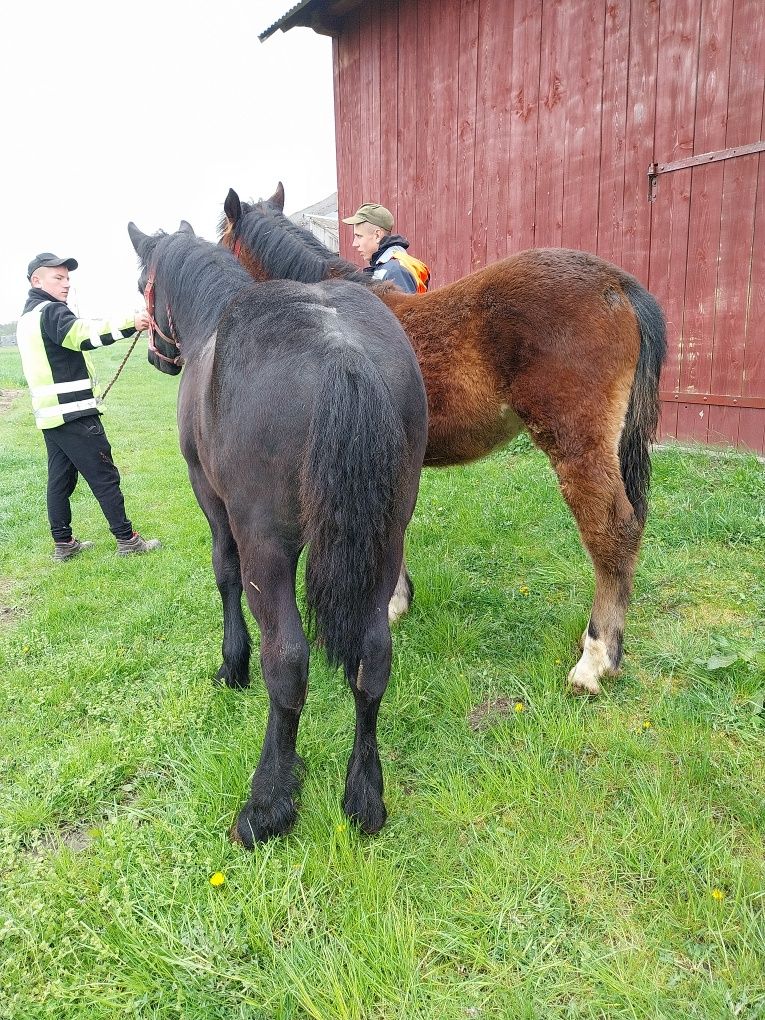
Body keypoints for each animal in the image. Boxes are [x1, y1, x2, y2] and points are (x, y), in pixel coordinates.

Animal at [128, 221, 428, 844]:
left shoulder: (211, 499)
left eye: (144, 283)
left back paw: (266, 803)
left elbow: (223, 574)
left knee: (288, 663)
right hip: (387, 539)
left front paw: (232, 665)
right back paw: (364, 796)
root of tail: (340, 349)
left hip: (267, 548)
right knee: (373, 660)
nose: (155, 355)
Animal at [218, 183, 669, 697]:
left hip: (578, 445)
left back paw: (595, 659)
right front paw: (395, 603)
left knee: (612, 532)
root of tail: (619, 285)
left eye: (223, 238)